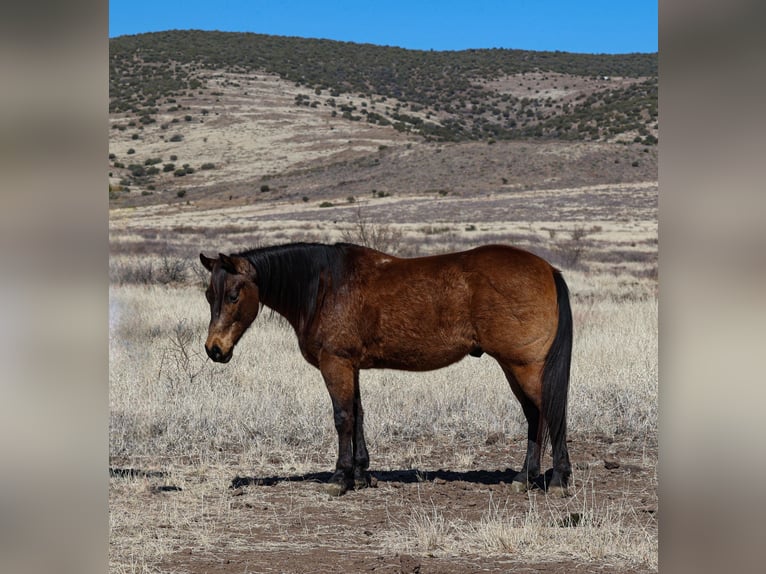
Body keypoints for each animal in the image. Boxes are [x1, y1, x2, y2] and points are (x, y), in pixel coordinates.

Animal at [201, 241, 572, 498]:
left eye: (233, 294)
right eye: (208, 294)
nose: (214, 349)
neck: (325, 287)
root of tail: (548, 269)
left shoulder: (335, 363)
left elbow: (343, 418)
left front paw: (340, 478)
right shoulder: (351, 366)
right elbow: (358, 415)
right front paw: (362, 475)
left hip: (525, 366)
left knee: (552, 414)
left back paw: (557, 480)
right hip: (514, 367)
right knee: (535, 416)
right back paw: (525, 478)